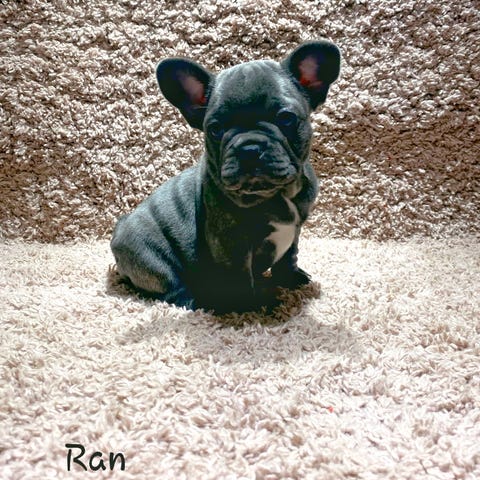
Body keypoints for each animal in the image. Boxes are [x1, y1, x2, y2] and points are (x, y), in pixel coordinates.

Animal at [111, 40, 341, 314]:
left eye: (286, 118)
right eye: (215, 129)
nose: (249, 148)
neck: (276, 193)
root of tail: (120, 228)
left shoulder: (295, 230)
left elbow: (288, 256)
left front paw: (290, 279)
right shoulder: (232, 244)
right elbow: (241, 277)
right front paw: (254, 306)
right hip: (152, 259)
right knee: (173, 289)